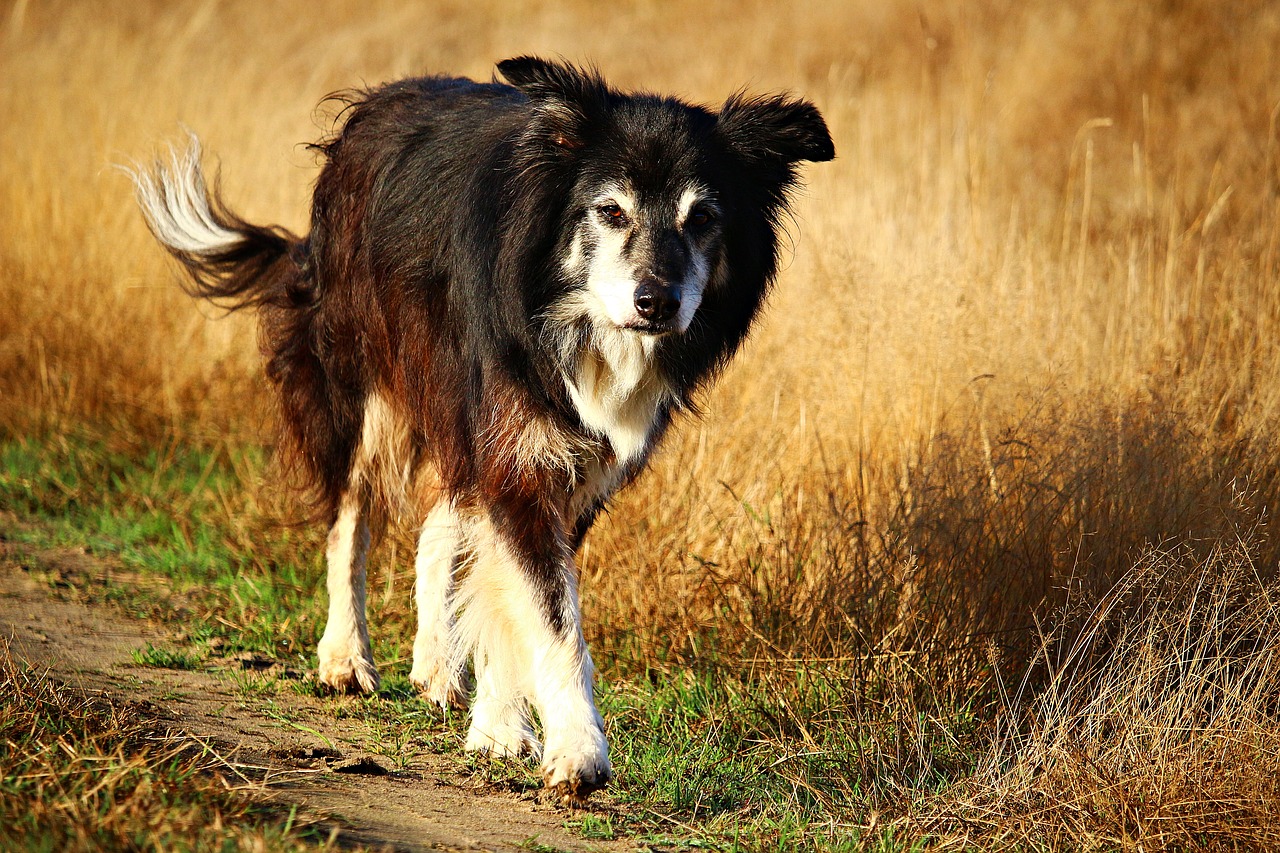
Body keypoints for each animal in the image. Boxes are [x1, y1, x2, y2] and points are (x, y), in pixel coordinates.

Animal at [129, 58, 829, 799]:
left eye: (703, 219)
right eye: (611, 211)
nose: (656, 302)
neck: (570, 320)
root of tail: (372, 111)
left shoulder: (571, 467)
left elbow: (512, 596)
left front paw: (498, 728)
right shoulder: (519, 450)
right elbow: (551, 617)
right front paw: (578, 753)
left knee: (443, 527)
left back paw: (437, 667)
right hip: (369, 381)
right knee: (351, 514)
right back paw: (345, 659)